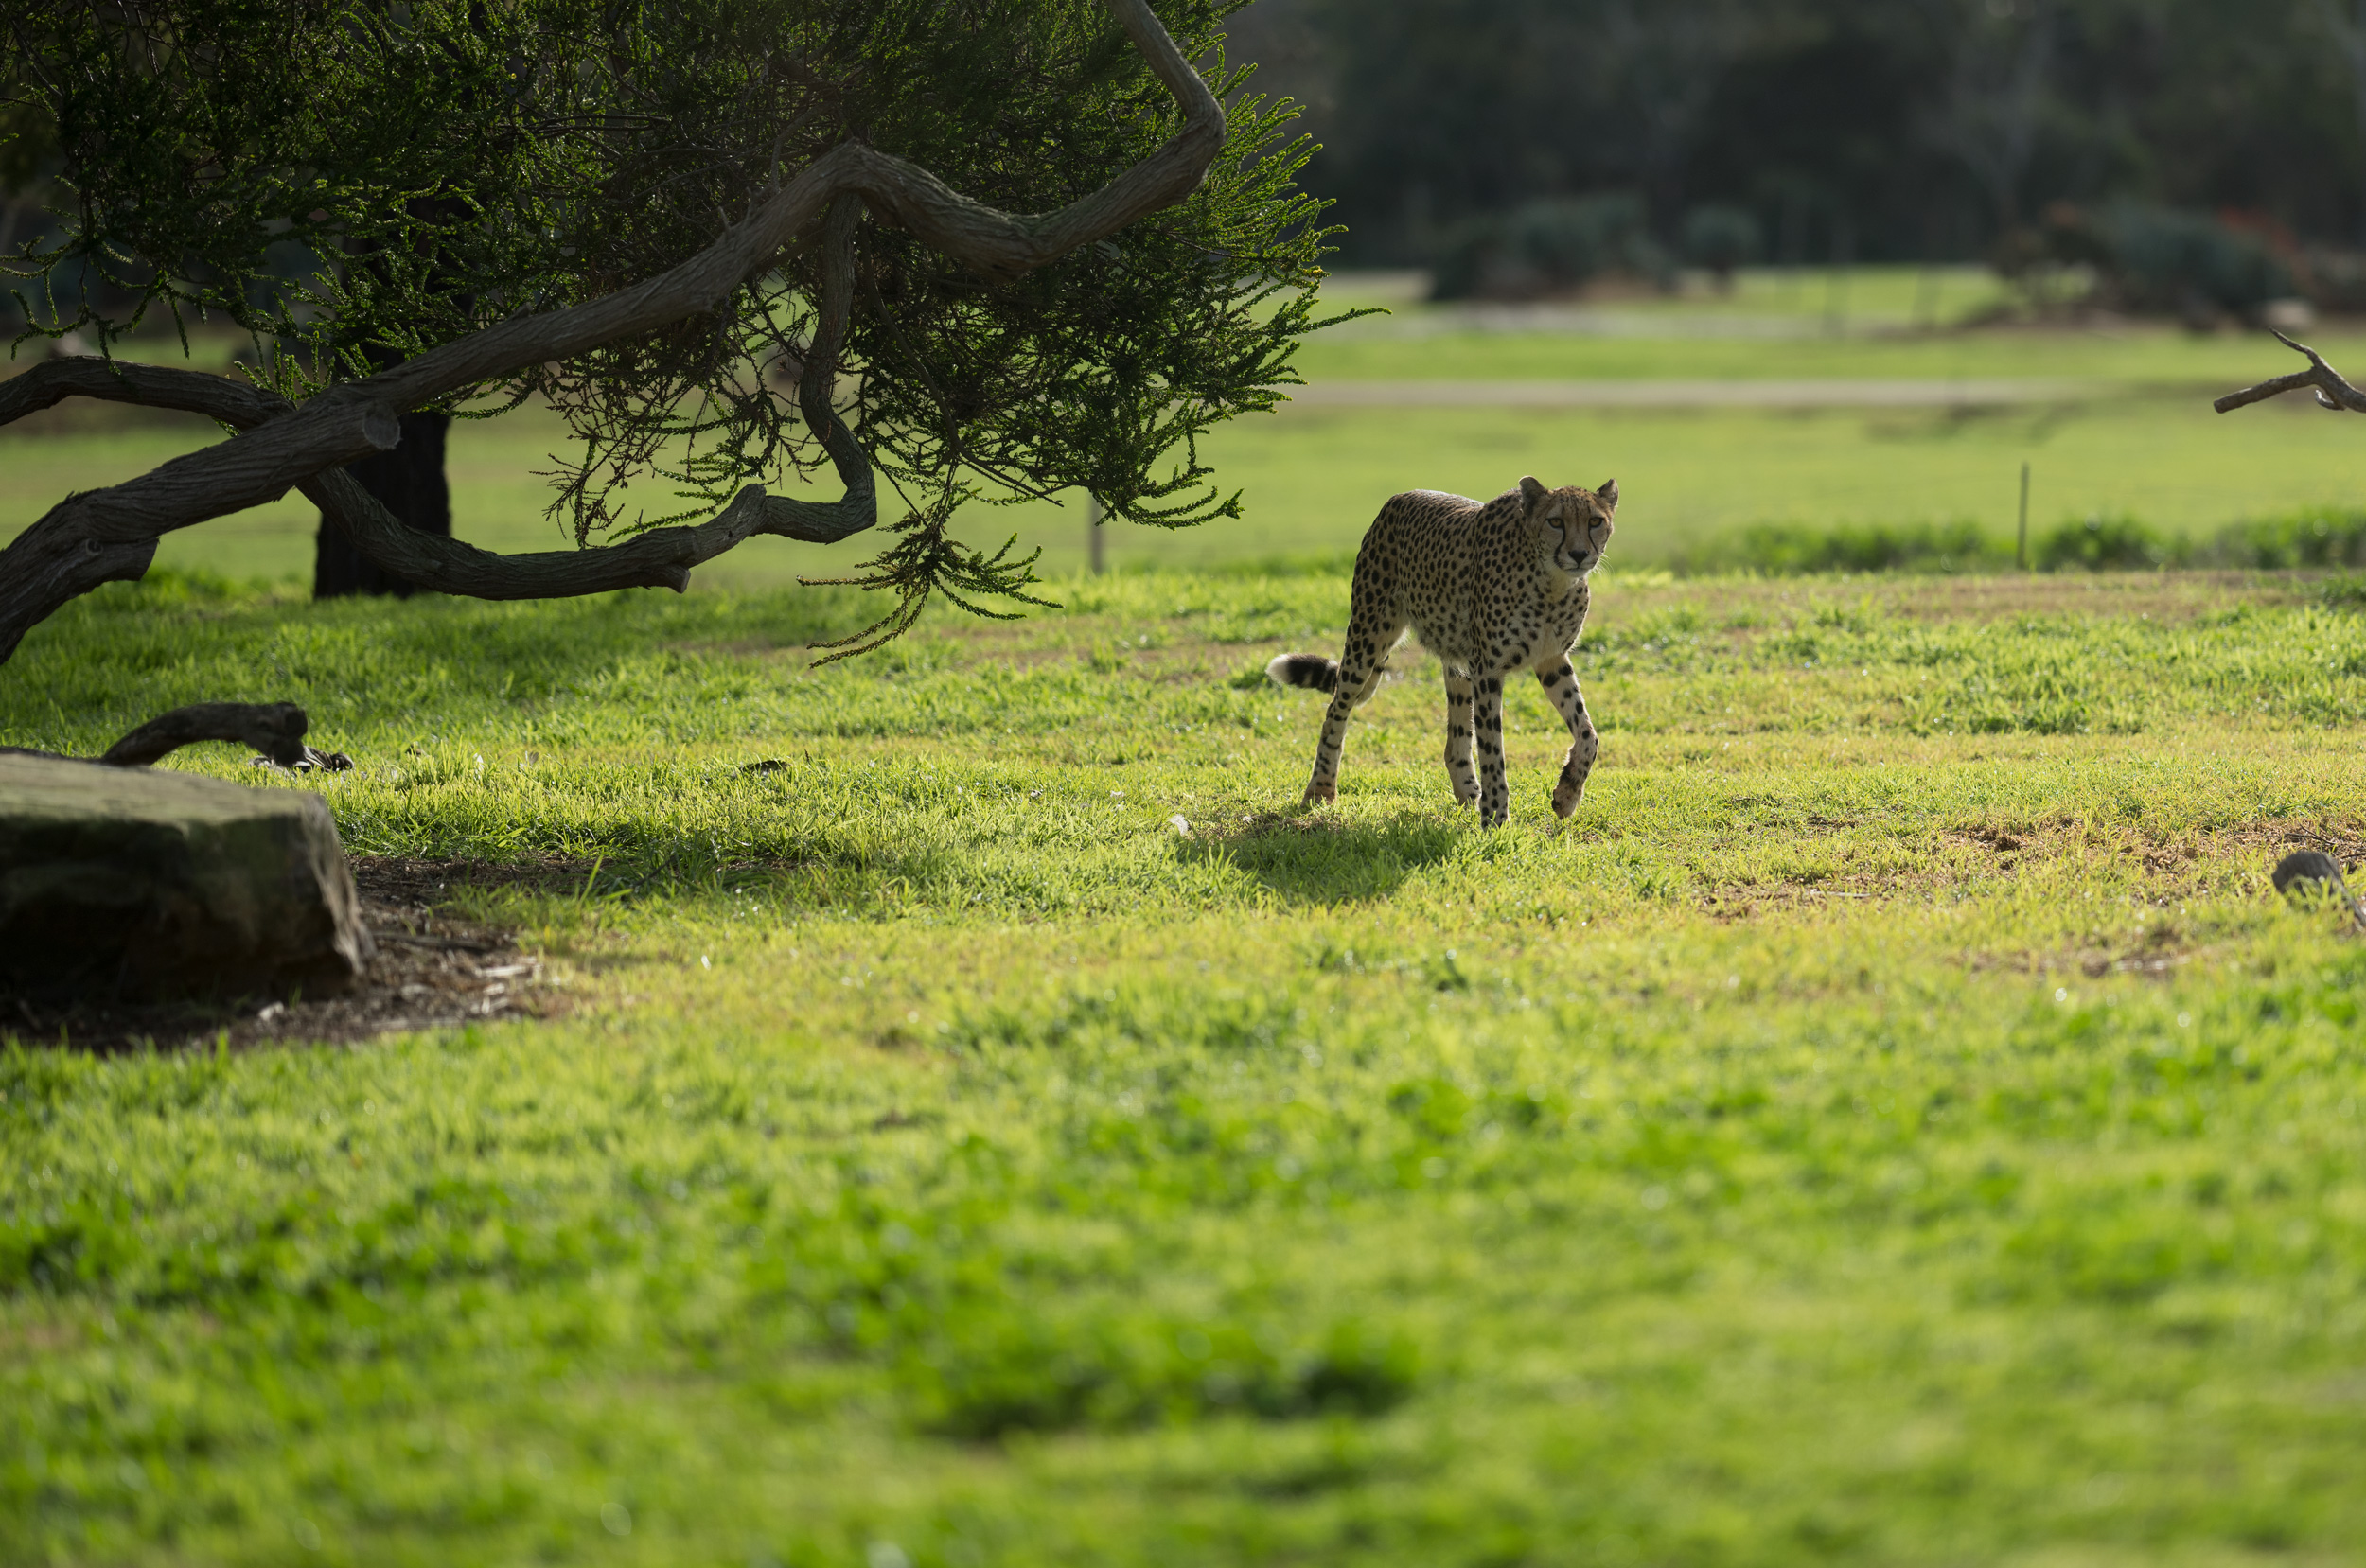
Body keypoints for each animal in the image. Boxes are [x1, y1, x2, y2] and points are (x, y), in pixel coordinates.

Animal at [1268, 472, 1618, 827]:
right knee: (1335, 710)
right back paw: (1320, 790)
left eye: (1595, 521)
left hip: (1456, 660)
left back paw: (1468, 791)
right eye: (1555, 521)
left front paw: (1567, 794)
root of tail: (1398, 499)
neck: (1551, 583)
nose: (1579, 554)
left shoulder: (1551, 659)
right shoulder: (1489, 670)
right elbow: (1492, 749)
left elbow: (1589, 735)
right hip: (1367, 636)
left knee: (1455, 739)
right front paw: (1496, 817)